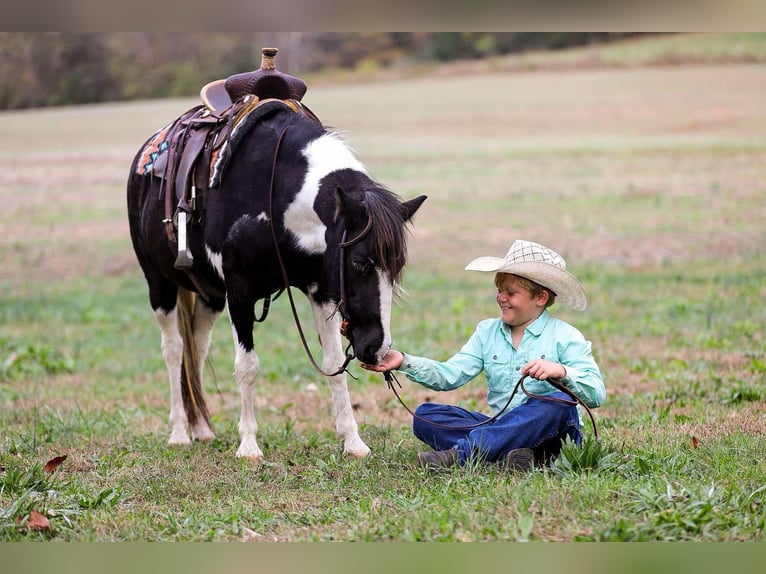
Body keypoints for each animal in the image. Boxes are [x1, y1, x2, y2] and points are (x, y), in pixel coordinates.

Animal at [126, 97, 426, 461]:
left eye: (396, 270)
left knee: (195, 347)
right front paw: (248, 446)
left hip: (209, 295)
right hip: (160, 284)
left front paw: (353, 441)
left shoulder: (322, 289)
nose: (377, 349)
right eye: (359, 263)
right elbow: (247, 366)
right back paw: (180, 432)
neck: (275, 194)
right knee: (174, 349)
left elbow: (333, 362)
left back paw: (202, 428)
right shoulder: (239, 293)